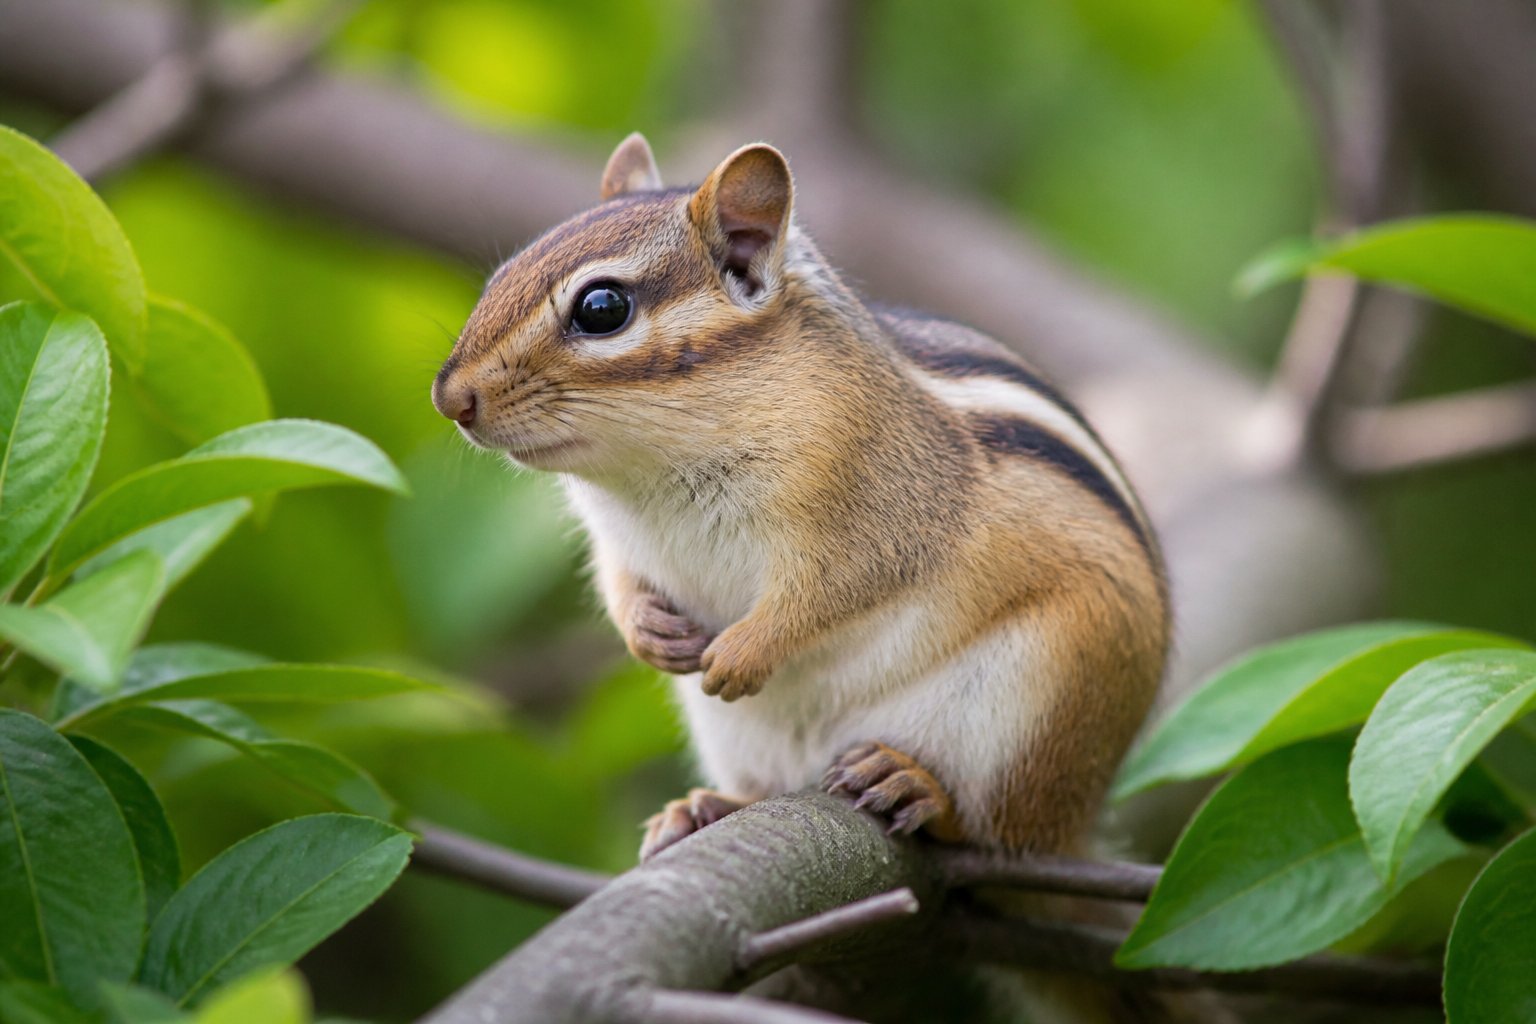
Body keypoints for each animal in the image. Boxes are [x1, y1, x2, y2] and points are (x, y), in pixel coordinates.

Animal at [432, 132, 1169, 863]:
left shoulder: (881, 511)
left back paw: (916, 786)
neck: (654, 471)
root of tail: (1080, 825)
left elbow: (831, 591)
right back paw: (706, 807)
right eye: (500, 278)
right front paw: (647, 632)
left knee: (1002, 831)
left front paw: (742, 652)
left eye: (602, 308)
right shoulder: (615, 537)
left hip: (1042, 702)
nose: (450, 399)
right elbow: (619, 581)